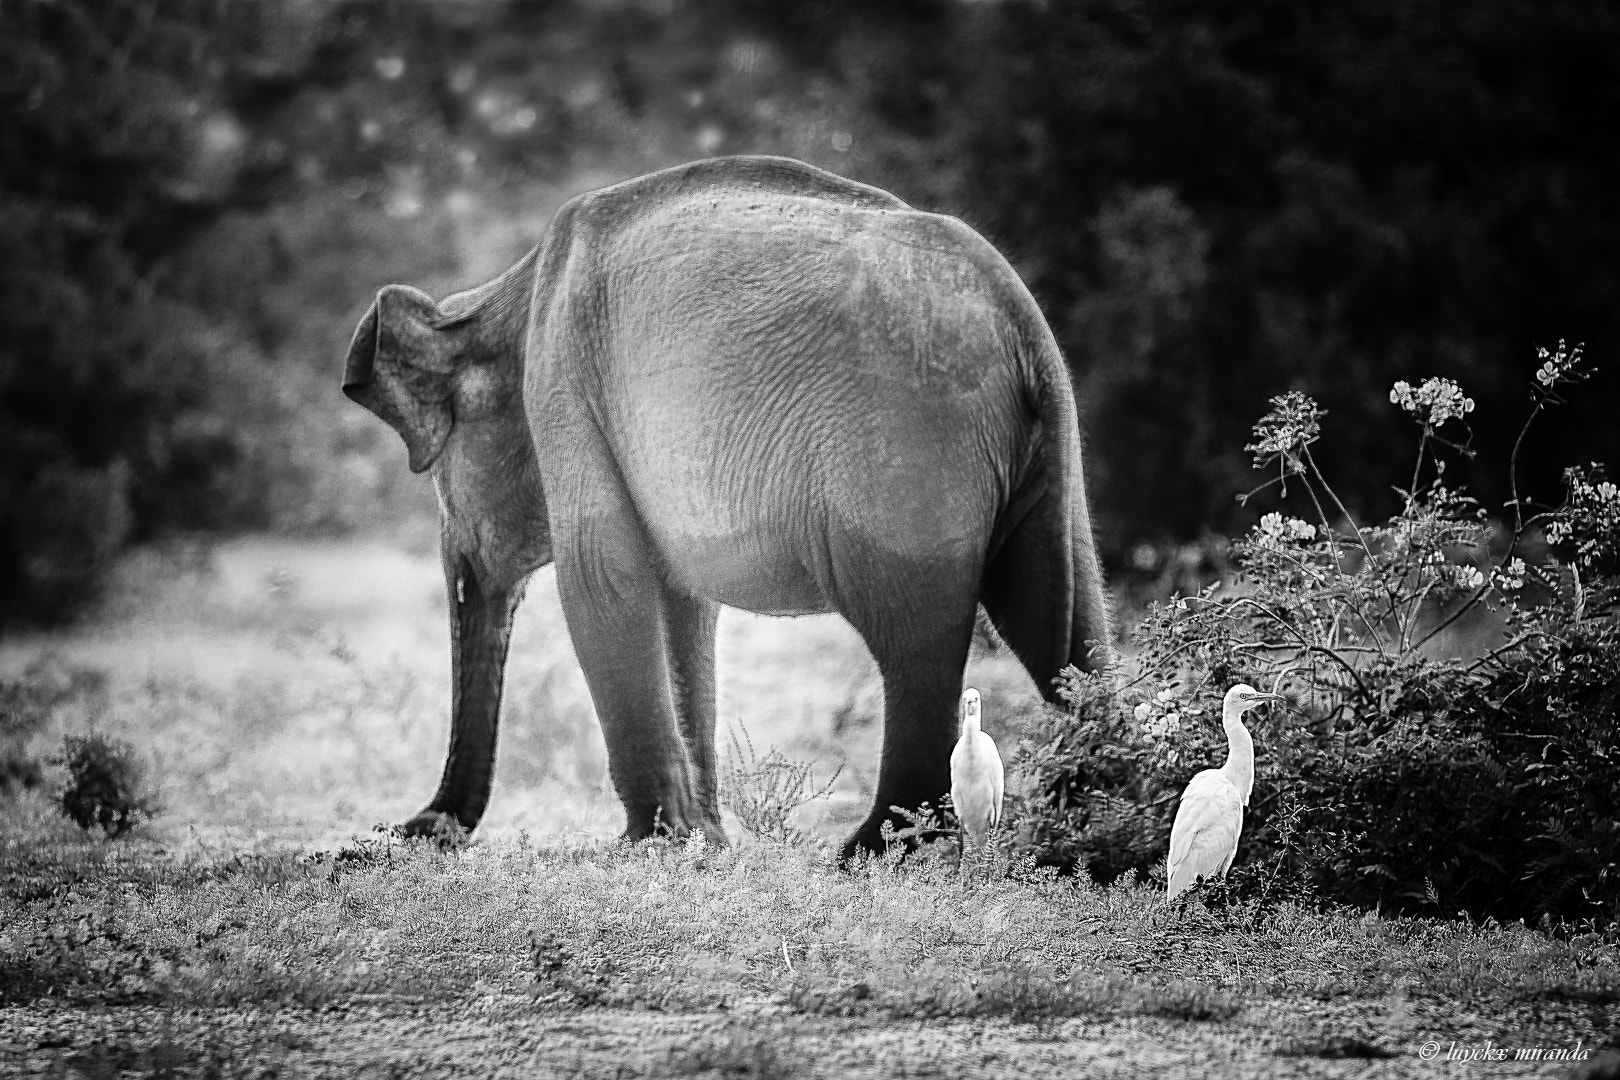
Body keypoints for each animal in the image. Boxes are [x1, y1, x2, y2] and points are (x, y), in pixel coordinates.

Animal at [341, 153, 1114, 861]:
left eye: (441, 476)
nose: (395, 834)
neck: (507, 294)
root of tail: (1019, 317)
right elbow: (684, 609)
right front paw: (702, 843)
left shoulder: (562, 386)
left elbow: (601, 585)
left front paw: (650, 847)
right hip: (1045, 459)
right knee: (1060, 618)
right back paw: (1088, 841)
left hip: (907, 448)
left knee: (915, 635)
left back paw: (870, 853)